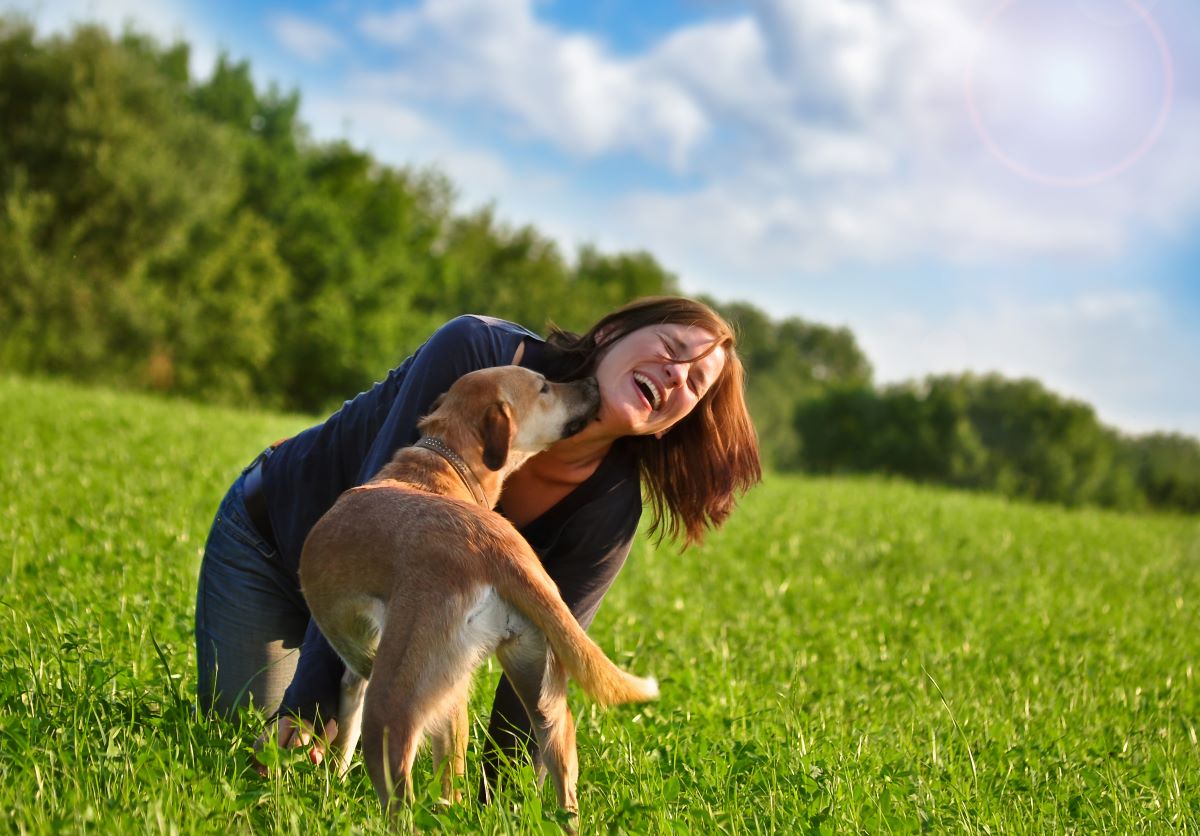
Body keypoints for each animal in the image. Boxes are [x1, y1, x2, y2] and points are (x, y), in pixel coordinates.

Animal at [297, 364, 657, 815]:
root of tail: (496, 549)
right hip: (538, 694)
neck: (444, 462)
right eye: (544, 387)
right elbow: (345, 735)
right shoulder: (364, 679)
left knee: (406, 804)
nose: (594, 382)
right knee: (545, 781)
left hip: (394, 706)